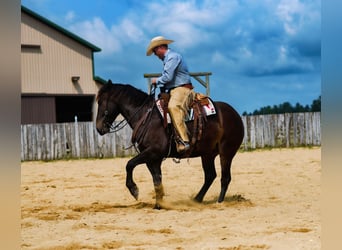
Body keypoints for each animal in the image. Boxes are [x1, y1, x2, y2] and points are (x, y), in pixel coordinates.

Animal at [95, 80, 243, 209]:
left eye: (101, 101)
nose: (98, 128)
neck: (147, 117)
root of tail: (235, 114)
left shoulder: (153, 152)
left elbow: (129, 164)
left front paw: (134, 190)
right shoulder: (153, 159)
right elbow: (157, 180)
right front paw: (158, 204)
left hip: (226, 153)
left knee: (225, 177)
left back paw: (219, 202)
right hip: (207, 154)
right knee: (210, 176)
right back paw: (196, 199)